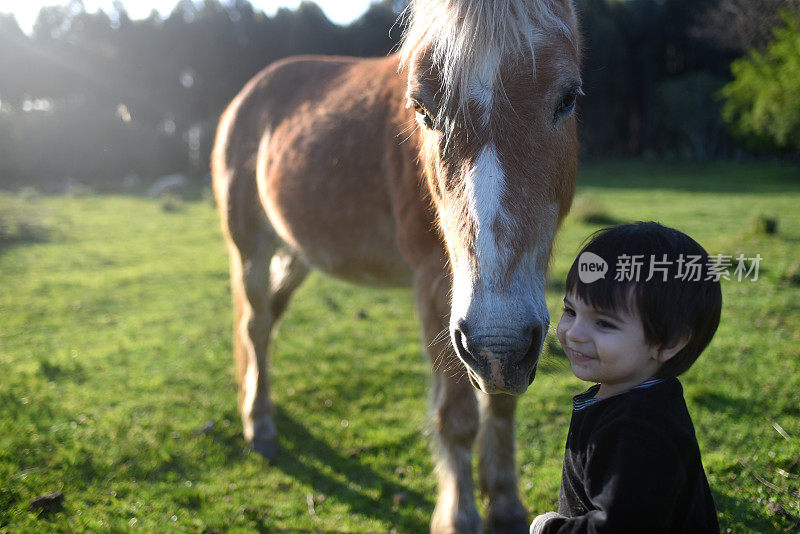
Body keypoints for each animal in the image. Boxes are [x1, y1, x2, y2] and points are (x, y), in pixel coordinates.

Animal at [209, 2, 580, 532]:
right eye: (422, 108)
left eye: (568, 98)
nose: (498, 343)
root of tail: (246, 95)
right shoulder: (436, 286)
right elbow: (457, 418)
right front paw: (458, 516)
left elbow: (503, 403)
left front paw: (506, 504)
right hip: (250, 247)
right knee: (256, 325)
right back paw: (259, 425)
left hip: (299, 253)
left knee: (266, 321)